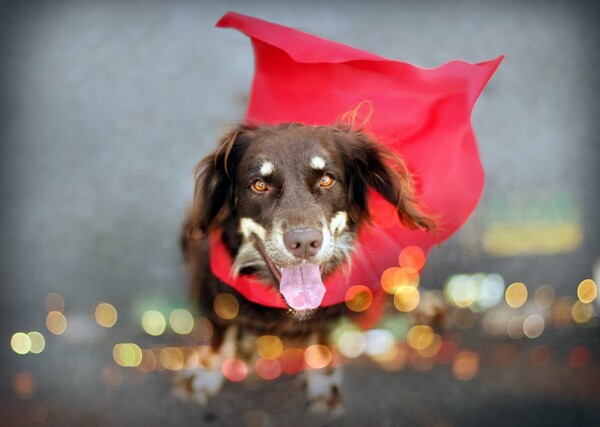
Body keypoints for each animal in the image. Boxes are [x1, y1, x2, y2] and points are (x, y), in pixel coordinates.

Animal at [176, 123, 434, 414]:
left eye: (327, 180)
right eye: (259, 184)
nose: (304, 243)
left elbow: (323, 339)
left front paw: (322, 379)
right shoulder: (218, 294)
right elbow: (219, 334)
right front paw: (205, 373)